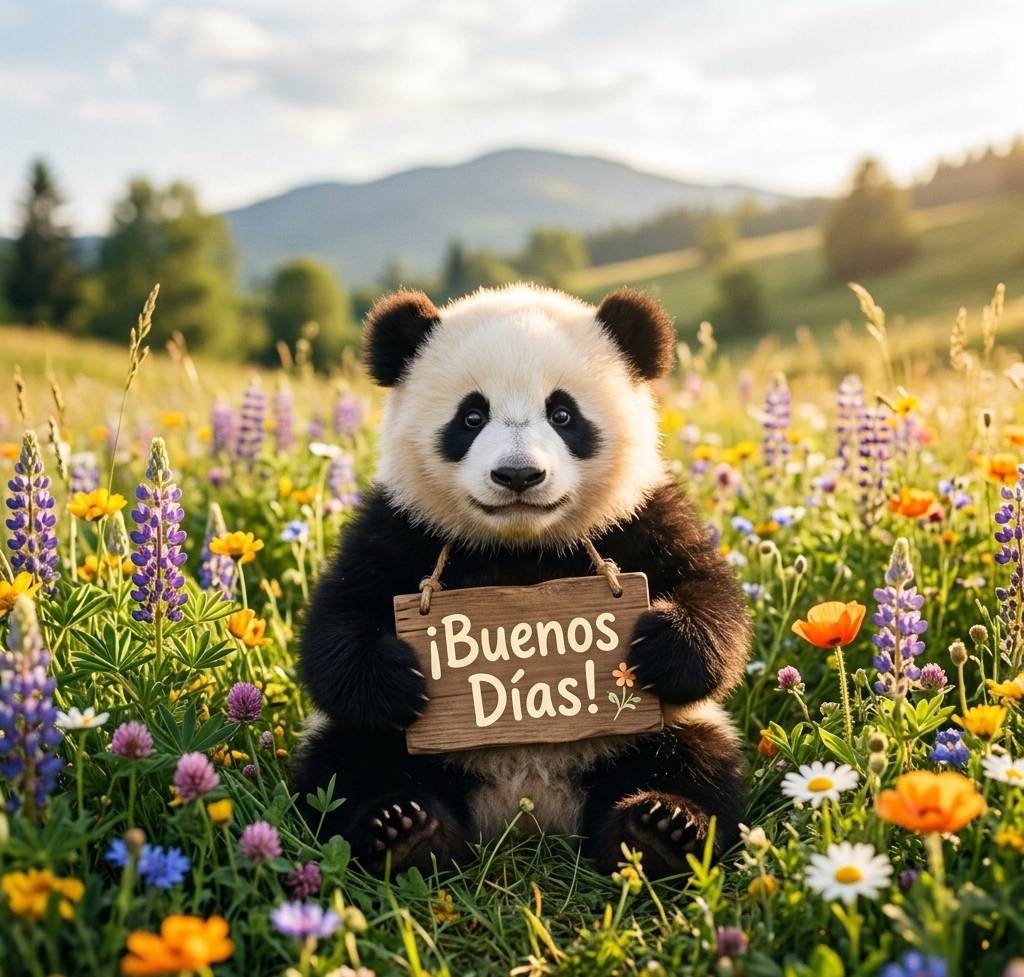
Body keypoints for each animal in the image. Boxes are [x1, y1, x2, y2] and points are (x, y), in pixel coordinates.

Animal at [295, 283, 750, 878]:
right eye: (471, 416)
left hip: (658, 735)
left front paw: (661, 644)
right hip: (389, 750)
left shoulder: (642, 516)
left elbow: (712, 601)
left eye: (562, 413)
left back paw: (659, 829)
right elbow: (336, 624)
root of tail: (527, 803)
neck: (522, 547)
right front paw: (403, 675)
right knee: (344, 765)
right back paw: (405, 830)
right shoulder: (400, 525)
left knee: (697, 763)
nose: (518, 475)